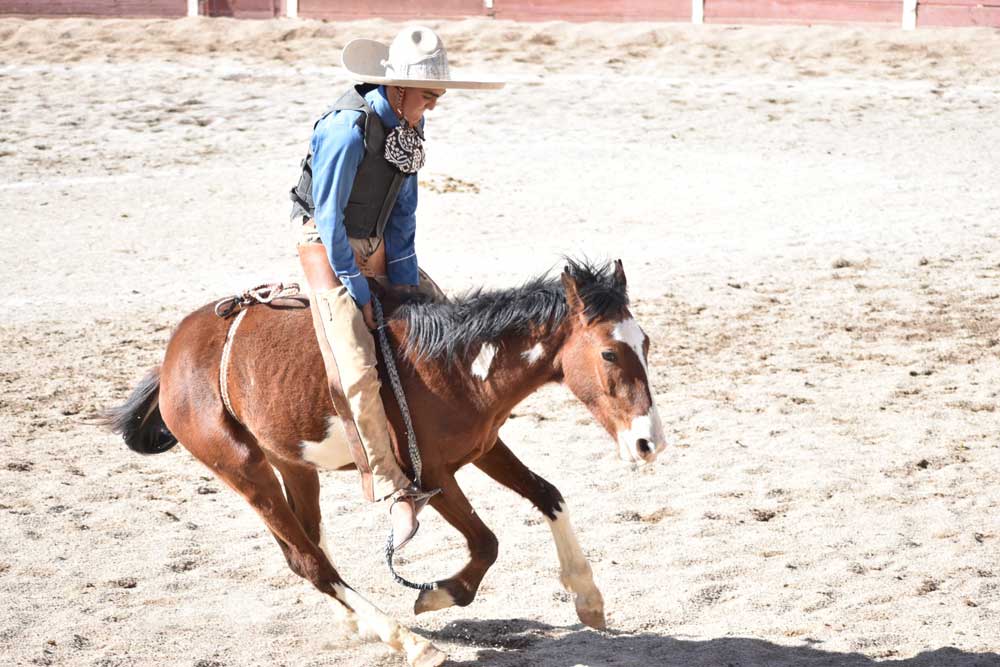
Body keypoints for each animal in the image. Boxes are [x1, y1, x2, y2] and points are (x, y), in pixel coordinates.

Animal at [101, 260, 668, 667]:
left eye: (645, 343)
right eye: (610, 354)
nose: (650, 443)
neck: (452, 365)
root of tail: (173, 356)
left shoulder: (484, 447)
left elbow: (549, 495)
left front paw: (589, 596)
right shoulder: (431, 474)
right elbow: (486, 542)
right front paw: (437, 597)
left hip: (292, 463)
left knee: (311, 542)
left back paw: (360, 625)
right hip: (242, 467)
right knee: (308, 562)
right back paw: (409, 641)